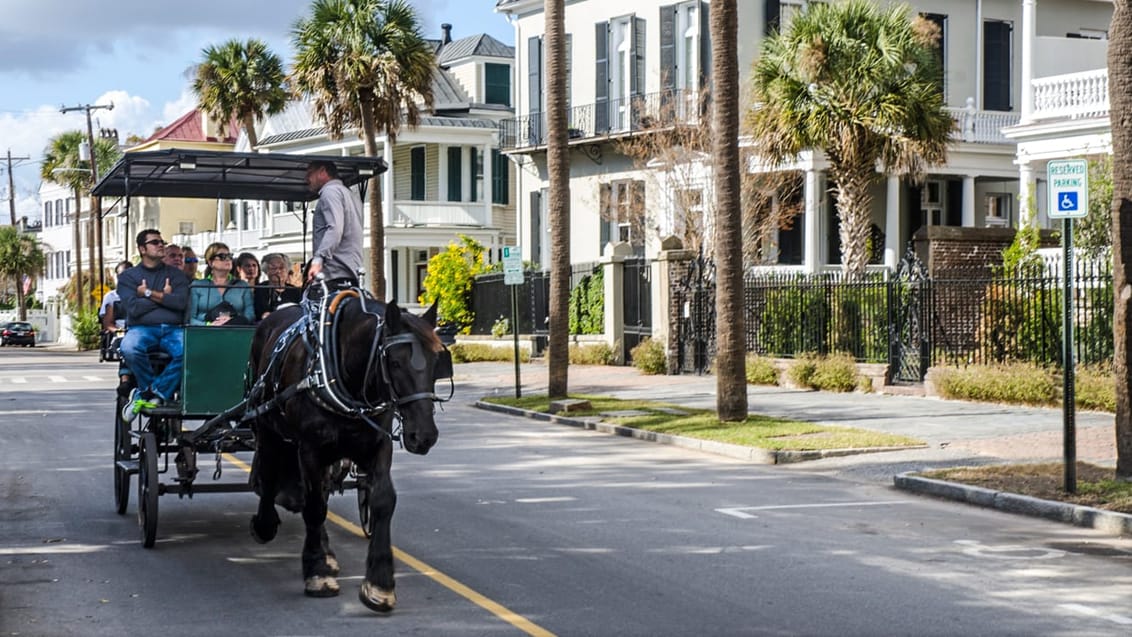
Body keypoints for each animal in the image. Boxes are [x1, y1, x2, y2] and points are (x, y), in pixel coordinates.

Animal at [247, 294, 441, 610]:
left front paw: (379, 583)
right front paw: (317, 573)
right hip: (265, 423)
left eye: (438, 359)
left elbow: (383, 500)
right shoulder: (310, 449)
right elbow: (313, 507)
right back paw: (266, 524)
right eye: (395, 362)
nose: (424, 435)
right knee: (269, 467)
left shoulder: (379, 445)